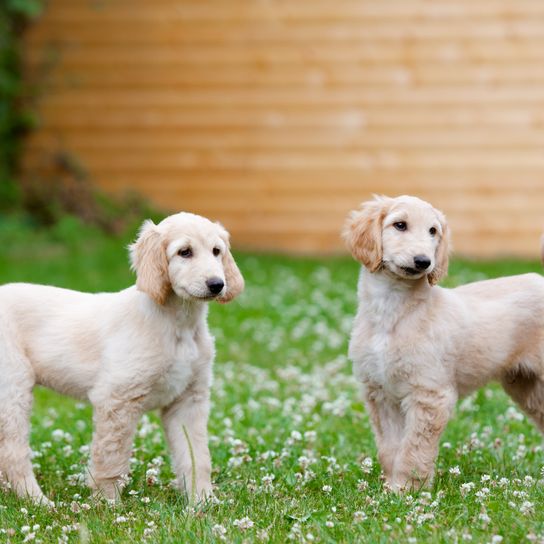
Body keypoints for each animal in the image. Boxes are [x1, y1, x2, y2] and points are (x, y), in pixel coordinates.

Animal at [0, 212, 244, 506]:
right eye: (184, 252)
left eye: (217, 251)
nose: (217, 284)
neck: (178, 324)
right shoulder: (117, 398)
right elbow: (111, 458)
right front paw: (107, 503)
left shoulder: (188, 400)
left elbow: (196, 457)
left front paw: (202, 502)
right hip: (13, 387)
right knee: (13, 452)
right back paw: (37, 501)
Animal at [342, 194, 544, 492]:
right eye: (399, 225)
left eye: (433, 231)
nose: (423, 261)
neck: (394, 311)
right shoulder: (380, 394)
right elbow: (390, 447)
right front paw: (390, 488)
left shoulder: (430, 393)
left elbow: (414, 449)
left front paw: (408, 489)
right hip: (528, 387)